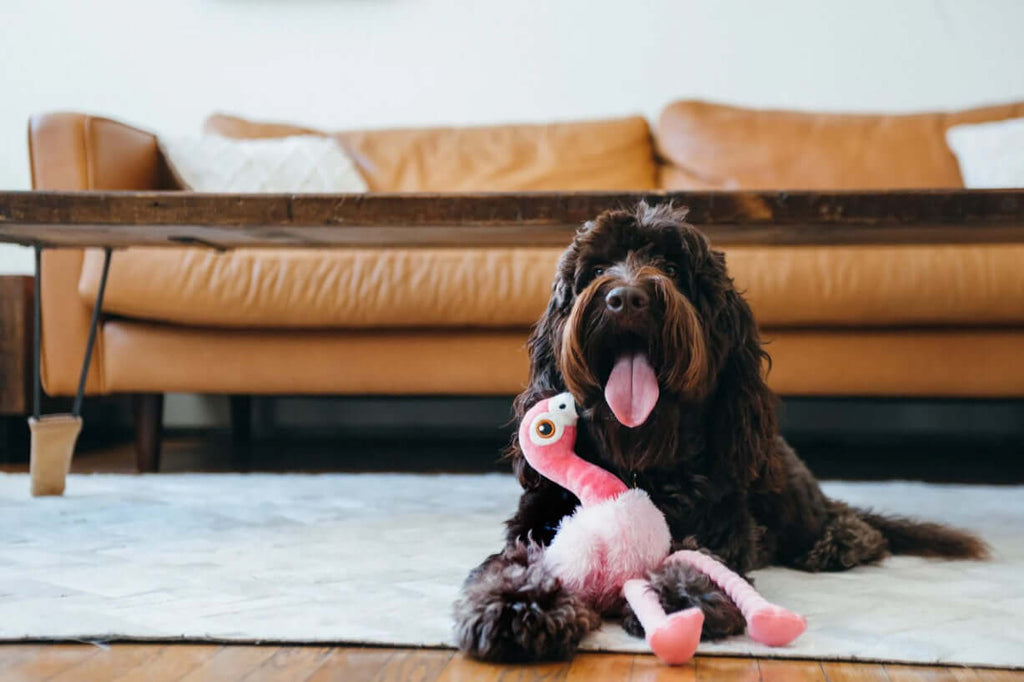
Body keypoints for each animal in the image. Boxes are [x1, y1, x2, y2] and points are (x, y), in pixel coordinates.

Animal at [454, 200, 983, 659]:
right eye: (598, 267)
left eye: (671, 269)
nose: (625, 298)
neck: (639, 464)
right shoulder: (536, 522)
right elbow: (512, 561)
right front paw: (516, 603)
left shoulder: (723, 526)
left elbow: (700, 556)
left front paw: (681, 593)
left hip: (786, 492)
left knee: (846, 522)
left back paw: (836, 544)